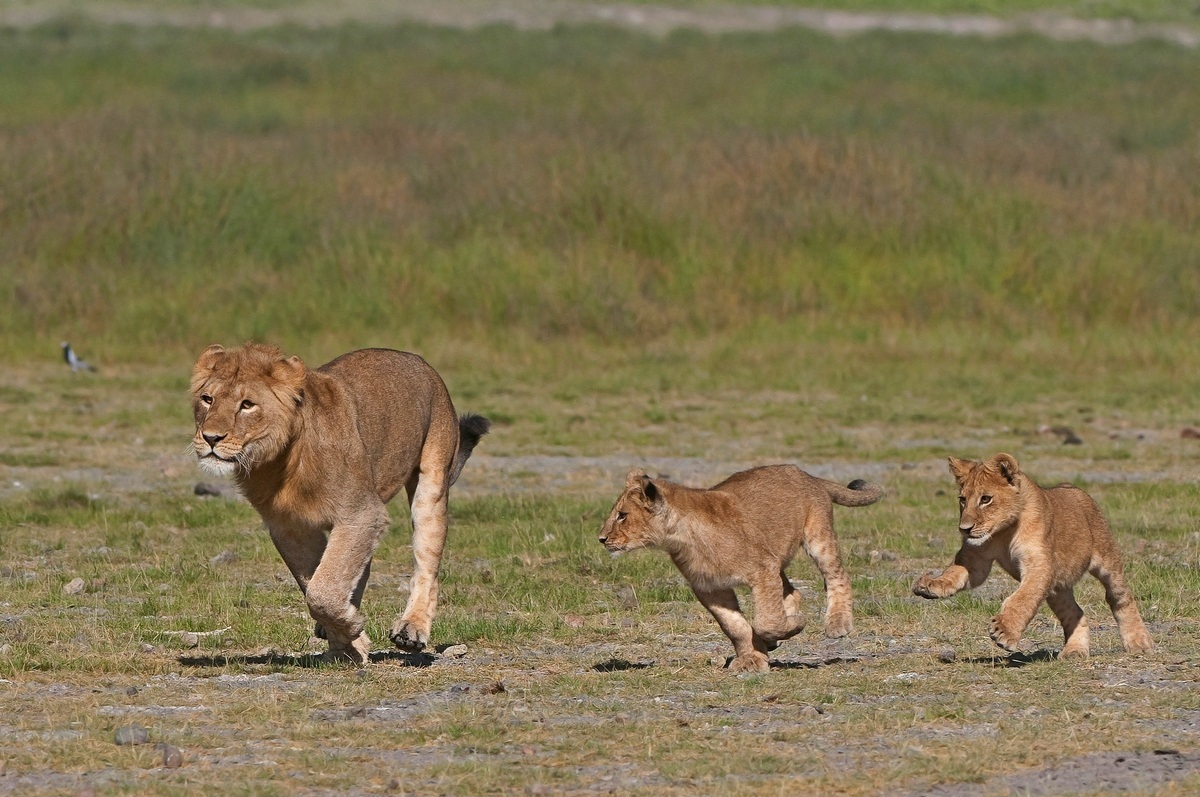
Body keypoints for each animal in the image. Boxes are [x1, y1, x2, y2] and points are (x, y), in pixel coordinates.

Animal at [190, 343, 489, 664]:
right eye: (207, 399)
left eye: (247, 405)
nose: (210, 438)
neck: (279, 463)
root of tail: (417, 360)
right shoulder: (289, 525)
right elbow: (315, 580)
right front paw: (348, 640)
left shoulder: (361, 512)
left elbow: (323, 588)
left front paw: (352, 628)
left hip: (431, 483)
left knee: (427, 566)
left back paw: (412, 628)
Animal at [599, 465, 884, 673]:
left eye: (622, 515)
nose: (601, 539)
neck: (681, 538)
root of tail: (805, 473)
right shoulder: (710, 588)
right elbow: (735, 626)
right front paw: (752, 658)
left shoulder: (762, 569)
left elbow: (766, 620)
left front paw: (793, 625)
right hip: (775, 556)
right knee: (793, 591)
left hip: (818, 537)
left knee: (837, 575)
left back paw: (837, 623)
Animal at [913, 453, 1153, 658]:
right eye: (963, 500)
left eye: (986, 499)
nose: (965, 529)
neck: (1003, 532)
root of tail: (1073, 487)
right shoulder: (976, 558)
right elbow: (955, 572)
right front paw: (931, 585)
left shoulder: (1040, 564)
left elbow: (1022, 598)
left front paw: (1005, 632)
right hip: (1057, 589)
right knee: (1075, 613)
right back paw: (1074, 651)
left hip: (1108, 562)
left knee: (1120, 597)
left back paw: (1139, 643)